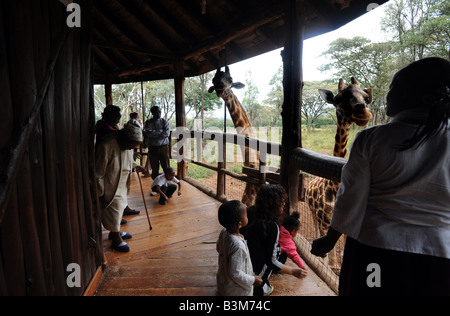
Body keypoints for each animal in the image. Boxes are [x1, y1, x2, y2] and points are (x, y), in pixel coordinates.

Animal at [306, 78, 372, 268]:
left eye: (366, 96)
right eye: (337, 99)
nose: (363, 112)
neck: (335, 187)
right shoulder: (323, 220)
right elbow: (328, 258)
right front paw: (327, 262)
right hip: (313, 213)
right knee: (314, 224)